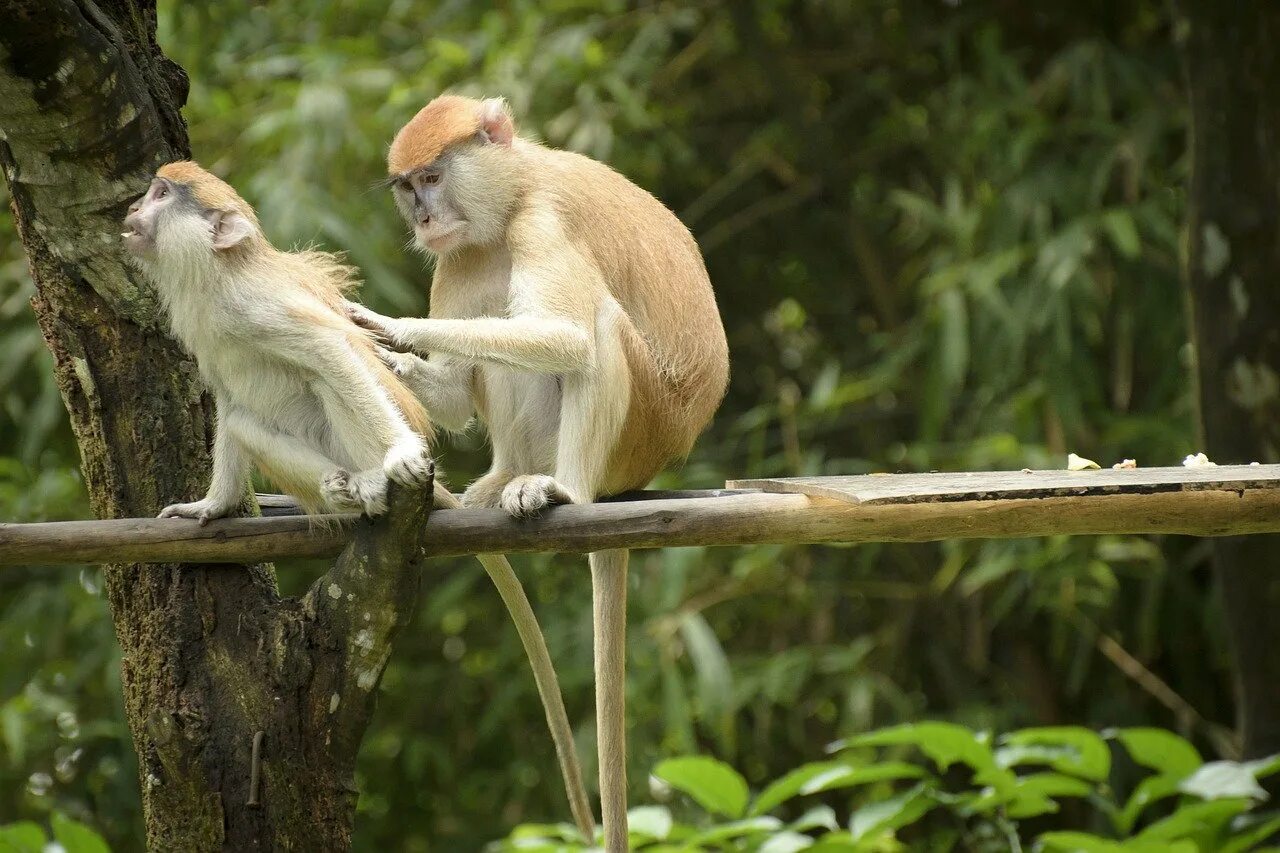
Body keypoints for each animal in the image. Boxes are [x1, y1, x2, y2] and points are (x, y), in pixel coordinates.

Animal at [122, 161, 596, 835]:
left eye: (162, 194)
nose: (133, 210)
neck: (216, 276)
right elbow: (230, 406)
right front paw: (211, 506)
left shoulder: (257, 306)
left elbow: (333, 353)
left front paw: (399, 456)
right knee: (244, 420)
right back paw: (337, 492)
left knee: (325, 382)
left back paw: (373, 481)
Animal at [348, 96, 732, 845]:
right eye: (406, 188)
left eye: (433, 177)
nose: (424, 220)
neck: (513, 189)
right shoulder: (459, 257)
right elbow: (453, 393)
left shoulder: (542, 222)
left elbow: (569, 336)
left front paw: (387, 326)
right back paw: (503, 479)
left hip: (642, 429)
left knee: (595, 329)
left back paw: (562, 489)